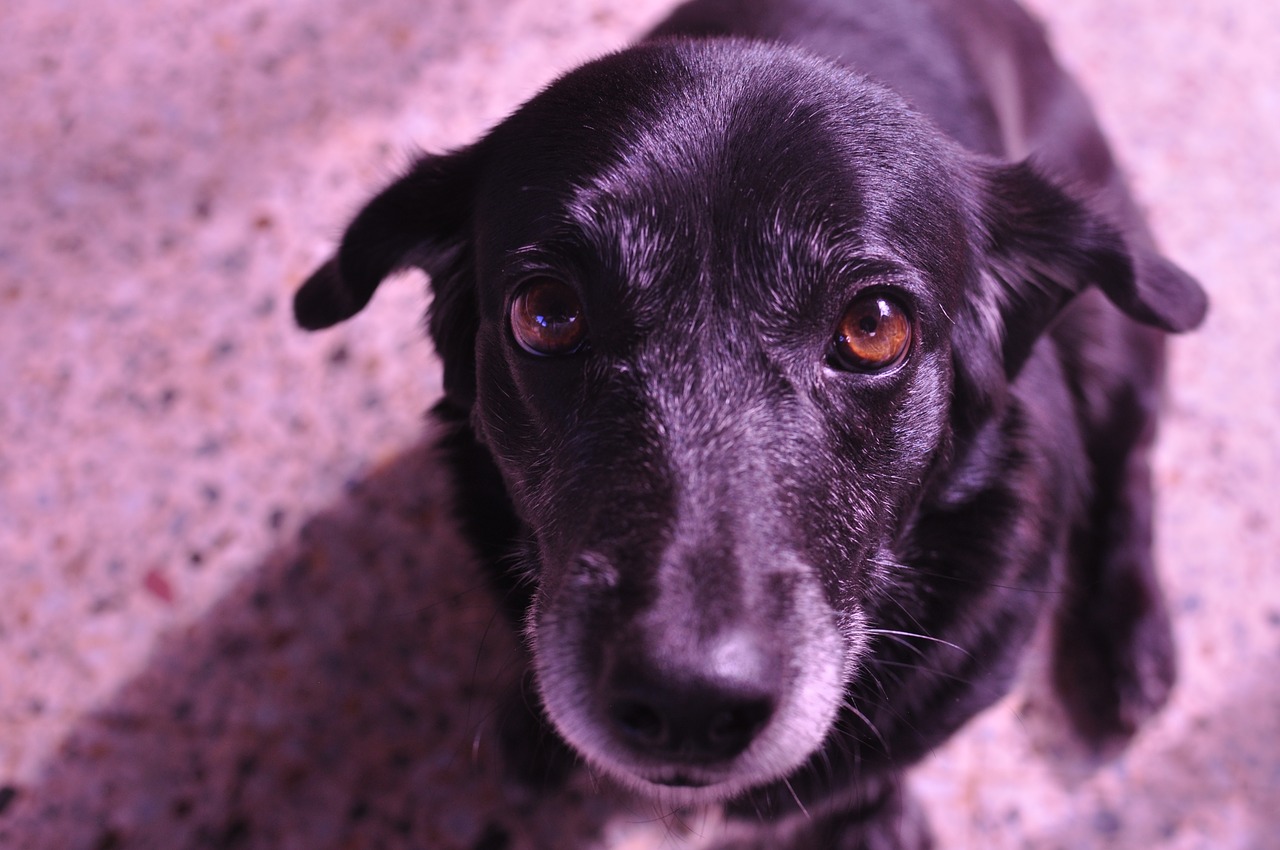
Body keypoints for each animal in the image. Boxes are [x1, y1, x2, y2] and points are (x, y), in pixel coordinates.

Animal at [294, 1, 1203, 844]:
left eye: (874, 326)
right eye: (548, 313)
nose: (686, 707)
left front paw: (869, 815)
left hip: (1114, 330)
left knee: (1130, 458)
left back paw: (1134, 643)